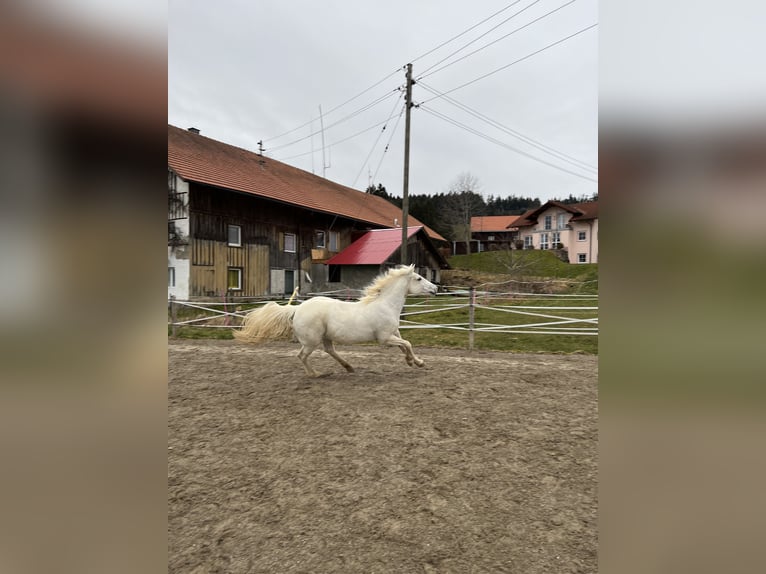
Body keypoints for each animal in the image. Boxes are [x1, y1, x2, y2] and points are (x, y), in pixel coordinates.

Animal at [234, 266, 438, 378]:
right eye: (419, 278)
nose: (435, 288)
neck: (385, 304)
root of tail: (297, 309)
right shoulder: (385, 338)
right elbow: (408, 344)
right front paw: (415, 362)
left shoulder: (394, 334)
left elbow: (405, 346)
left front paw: (415, 362)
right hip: (311, 341)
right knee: (302, 356)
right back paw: (316, 374)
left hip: (325, 336)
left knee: (329, 350)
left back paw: (349, 367)